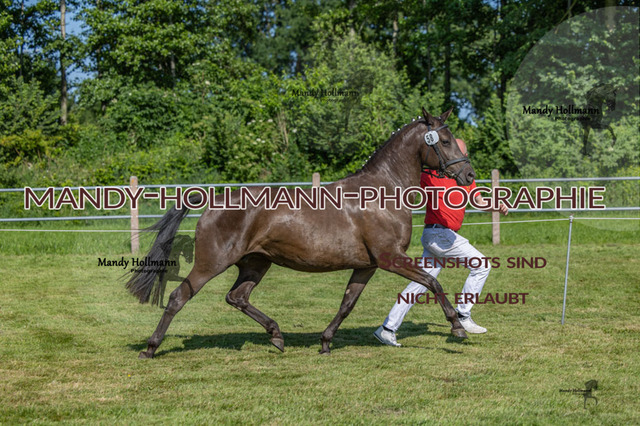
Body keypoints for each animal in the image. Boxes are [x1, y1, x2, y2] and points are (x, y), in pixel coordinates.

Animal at [126, 107, 476, 358]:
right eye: (445, 141)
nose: (469, 174)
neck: (382, 192)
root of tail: (214, 200)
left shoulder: (367, 265)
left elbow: (347, 304)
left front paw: (325, 342)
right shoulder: (391, 258)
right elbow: (432, 282)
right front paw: (457, 327)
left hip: (256, 263)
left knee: (236, 297)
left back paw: (277, 335)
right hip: (211, 263)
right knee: (178, 297)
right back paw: (151, 348)